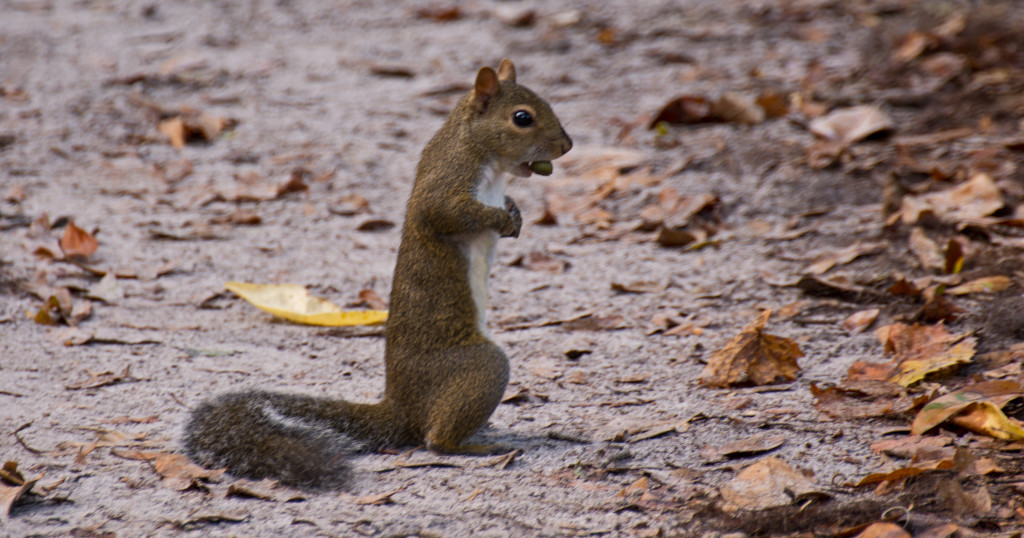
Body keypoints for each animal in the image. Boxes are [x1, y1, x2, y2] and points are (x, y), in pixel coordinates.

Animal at [180, 58, 573, 485]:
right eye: (522, 118)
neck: (475, 149)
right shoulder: (445, 183)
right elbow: (446, 213)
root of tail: (400, 408)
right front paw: (501, 218)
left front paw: (515, 214)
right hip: (482, 366)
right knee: (435, 439)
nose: (566, 146)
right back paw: (477, 446)